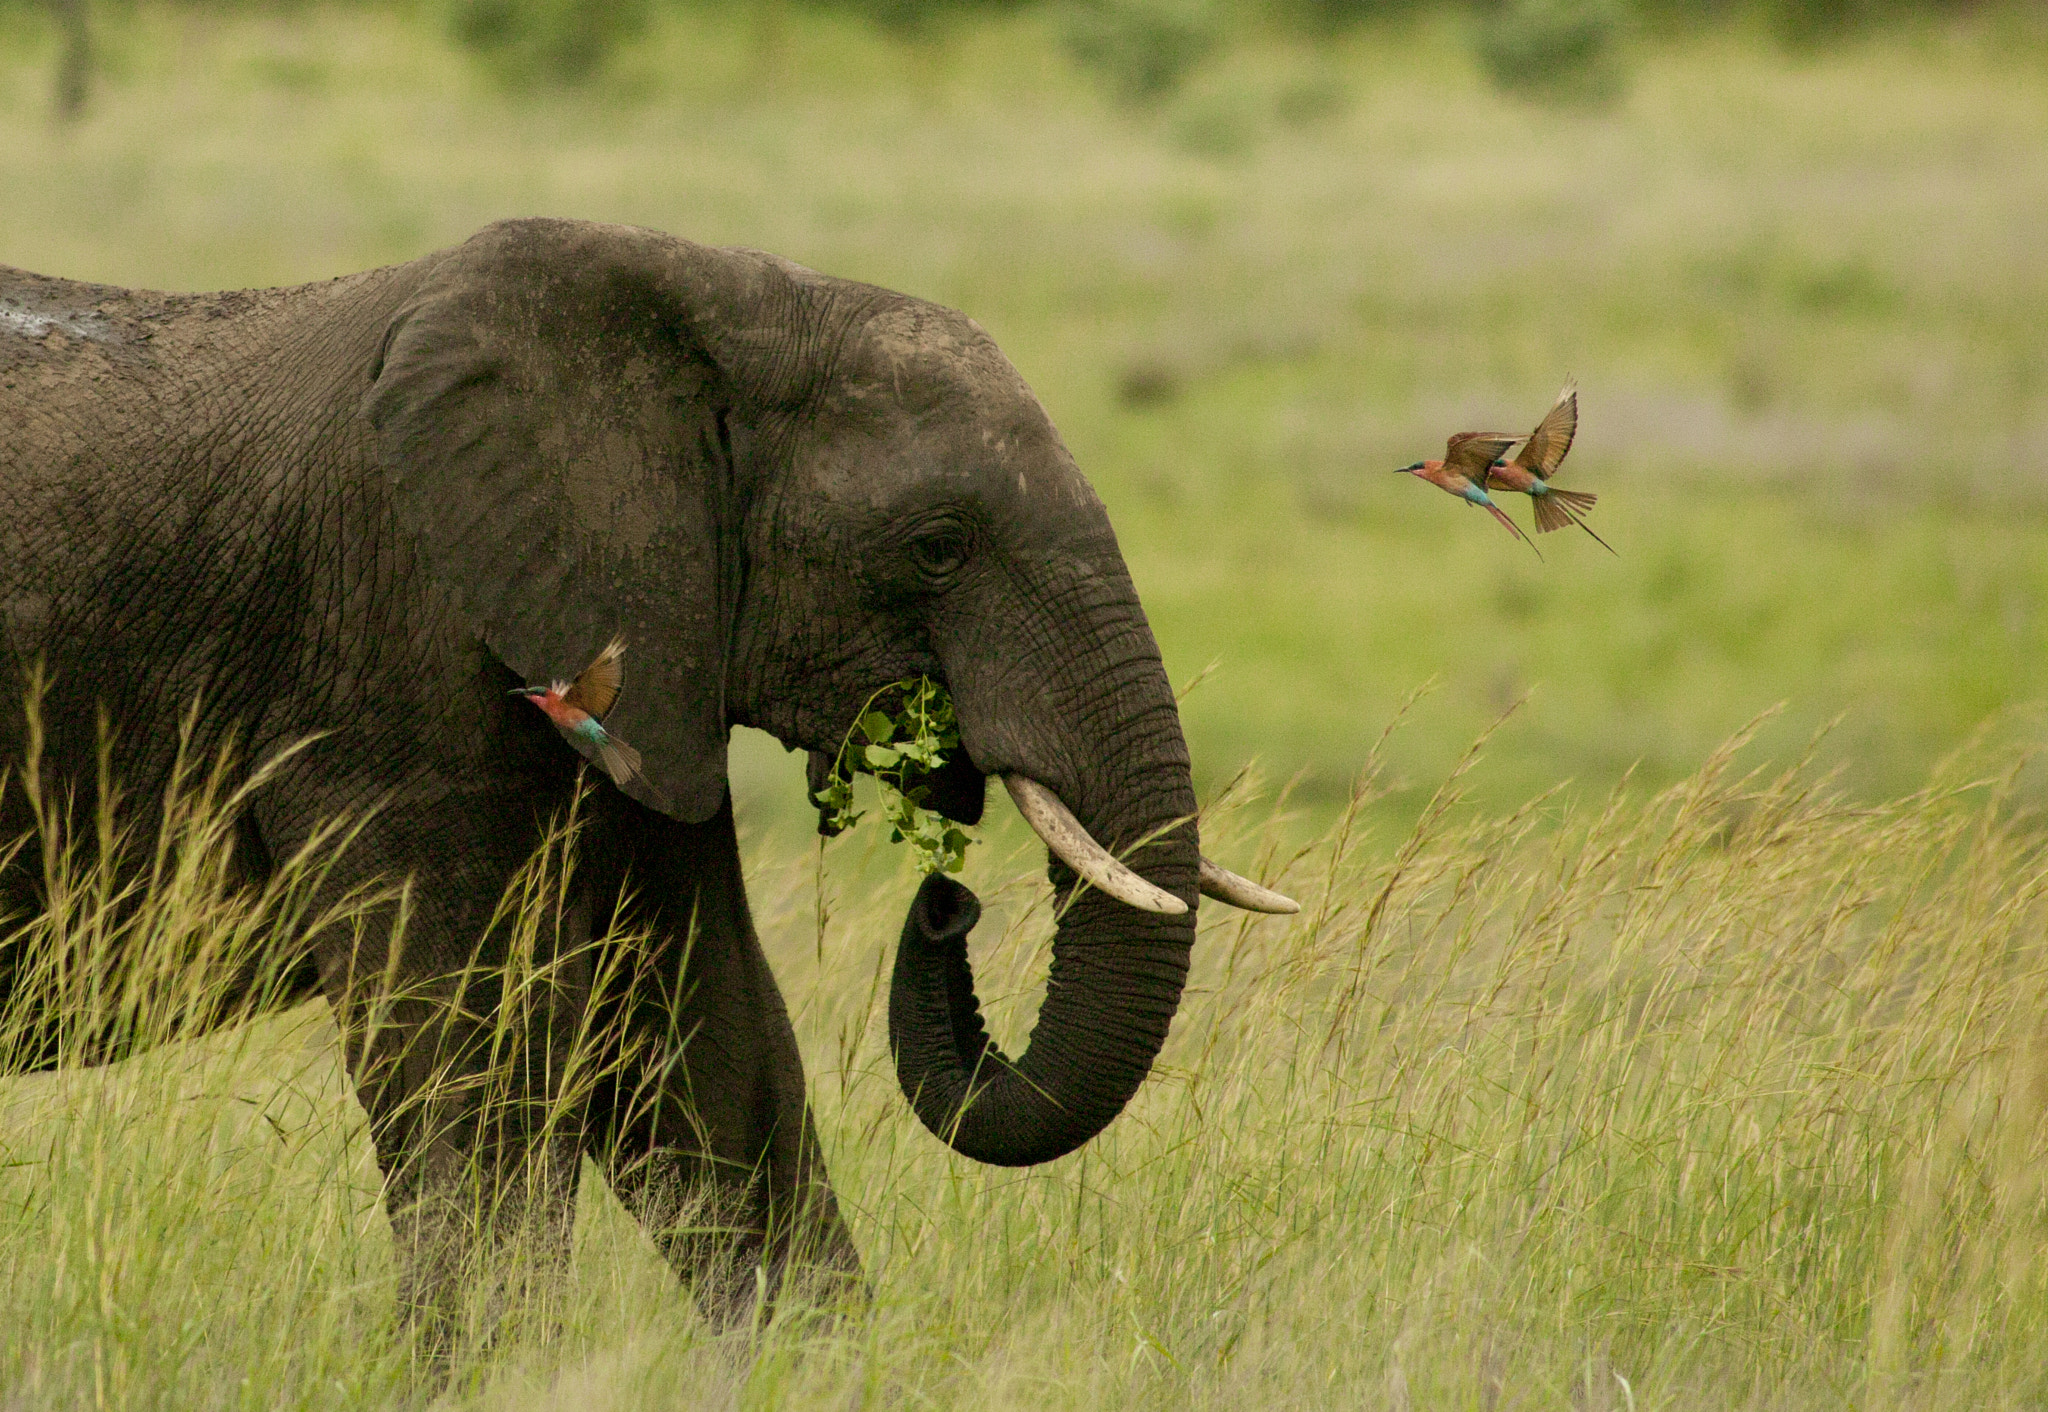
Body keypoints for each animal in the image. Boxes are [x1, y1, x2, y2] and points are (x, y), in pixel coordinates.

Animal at [0, 217, 1294, 1336]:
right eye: (935, 548)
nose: (947, 897)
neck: (728, 307)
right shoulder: (394, 650)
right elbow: (468, 1051)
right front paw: (487, 1368)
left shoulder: (647, 658)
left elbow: (702, 1031)